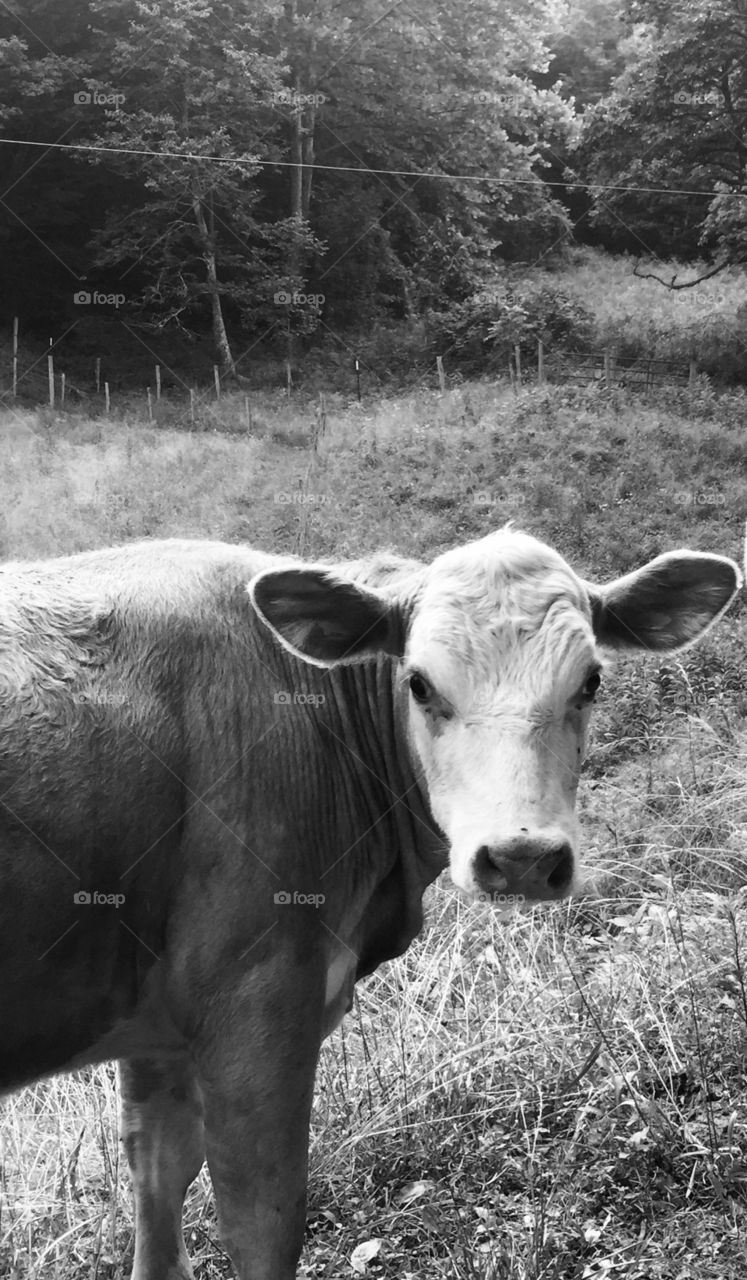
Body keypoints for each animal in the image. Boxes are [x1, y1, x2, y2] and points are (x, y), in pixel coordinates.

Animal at [0, 529, 740, 1280]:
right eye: (418, 684)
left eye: (590, 681)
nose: (523, 857)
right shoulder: (257, 998)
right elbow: (260, 1219)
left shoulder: (158, 1024)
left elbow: (158, 1181)